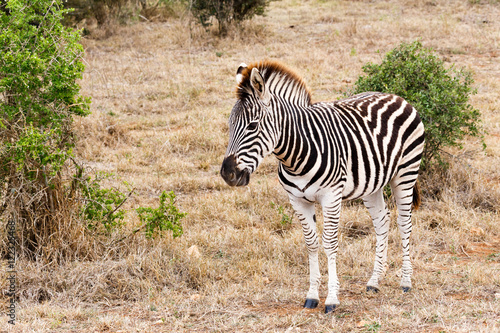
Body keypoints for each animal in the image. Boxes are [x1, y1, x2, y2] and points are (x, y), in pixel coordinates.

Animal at [221, 59, 424, 312]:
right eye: (229, 125)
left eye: (252, 126)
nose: (227, 173)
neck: (295, 156)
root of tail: (397, 96)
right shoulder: (297, 200)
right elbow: (311, 243)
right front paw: (312, 295)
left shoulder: (331, 196)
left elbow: (329, 243)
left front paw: (332, 299)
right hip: (372, 183)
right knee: (382, 221)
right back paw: (374, 281)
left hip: (406, 172)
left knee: (404, 223)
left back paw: (406, 282)